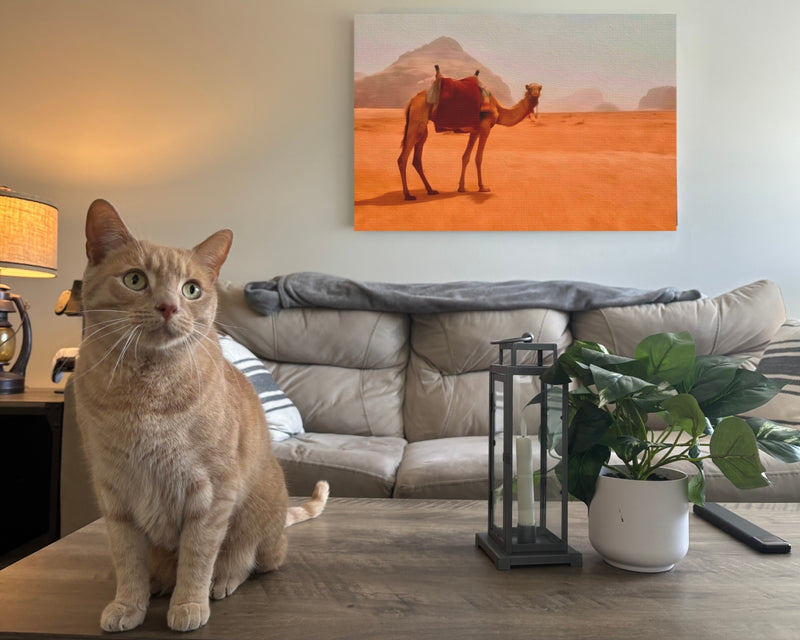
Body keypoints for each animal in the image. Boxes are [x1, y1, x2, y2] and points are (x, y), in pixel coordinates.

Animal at [398, 73, 542, 201]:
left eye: (539, 88)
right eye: (529, 88)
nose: (535, 95)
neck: (498, 109)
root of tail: (412, 101)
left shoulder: (475, 131)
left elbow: (465, 157)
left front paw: (461, 187)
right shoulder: (485, 127)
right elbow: (479, 158)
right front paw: (482, 187)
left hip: (422, 126)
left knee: (417, 158)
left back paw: (431, 190)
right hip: (417, 118)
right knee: (402, 158)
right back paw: (408, 195)